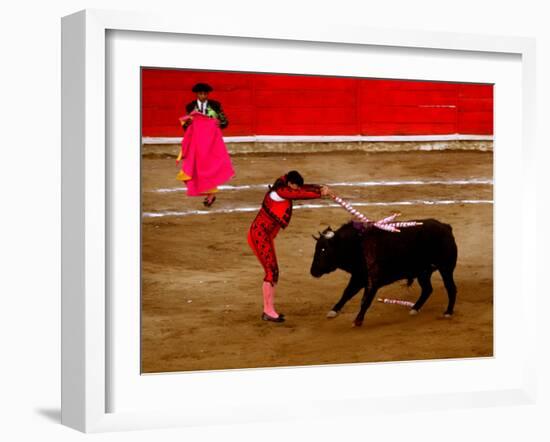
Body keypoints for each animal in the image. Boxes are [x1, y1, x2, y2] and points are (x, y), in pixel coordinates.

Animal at [312, 219, 460, 326]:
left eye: (324, 250)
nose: (313, 271)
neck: (358, 246)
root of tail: (446, 227)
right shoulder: (358, 277)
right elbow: (347, 293)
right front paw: (333, 311)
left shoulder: (373, 282)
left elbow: (366, 301)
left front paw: (358, 320)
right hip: (423, 272)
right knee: (427, 289)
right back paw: (414, 308)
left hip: (446, 268)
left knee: (451, 288)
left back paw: (448, 312)